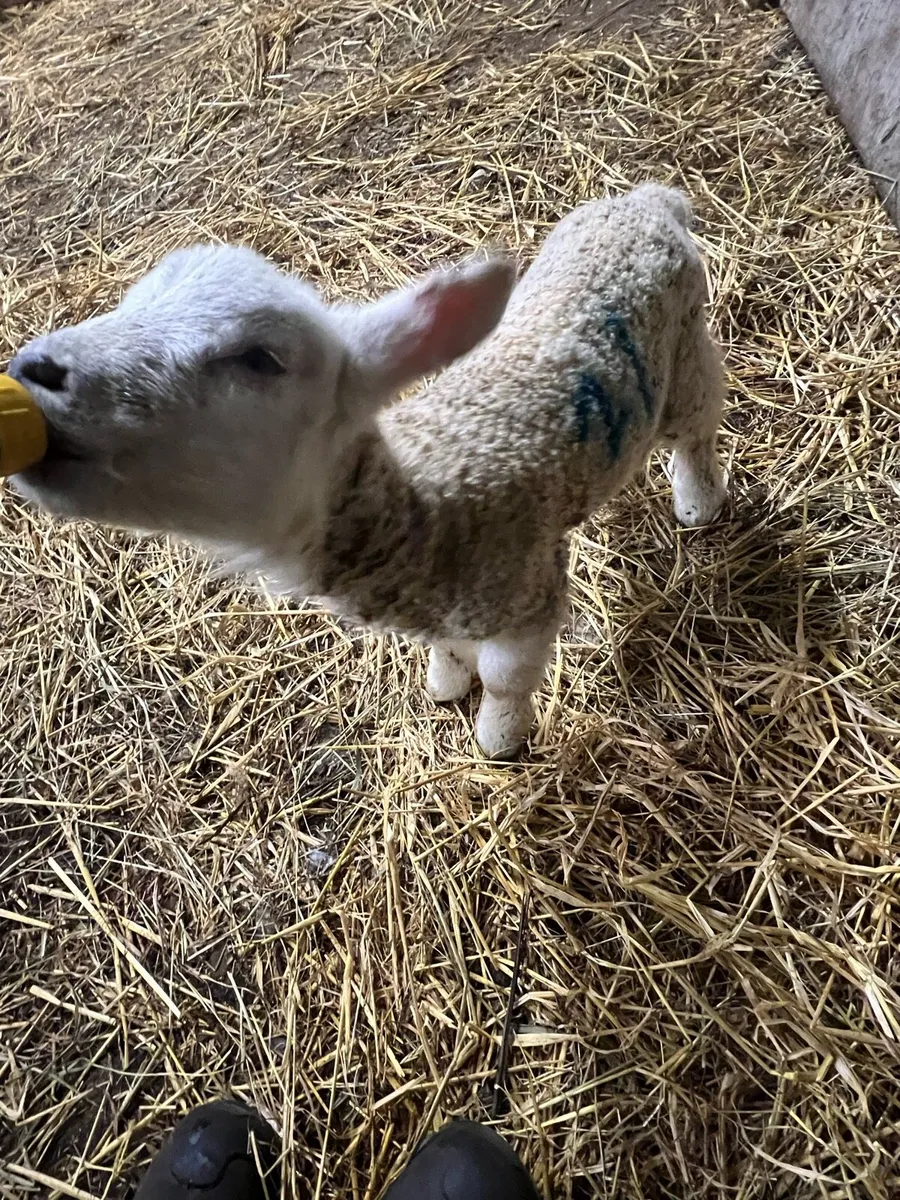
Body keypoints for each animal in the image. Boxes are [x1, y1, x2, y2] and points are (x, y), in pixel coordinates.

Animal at [9, 182, 727, 759]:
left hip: (686, 348)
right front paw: (445, 682)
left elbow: (505, 681)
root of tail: (650, 202)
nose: (31, 372)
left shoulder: (525, 592)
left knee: (699, 424)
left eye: (262, 358)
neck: (436, 506)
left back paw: (698, 502)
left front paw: (498, 737)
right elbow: (447, 649)